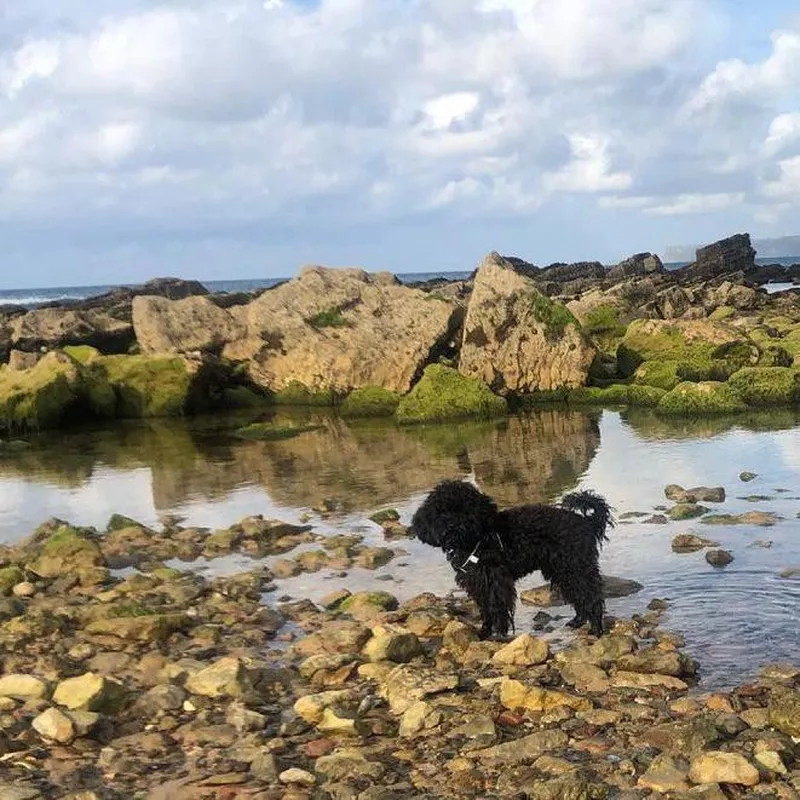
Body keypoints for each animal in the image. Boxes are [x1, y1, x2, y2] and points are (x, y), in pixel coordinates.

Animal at [410, 478, 616, 640]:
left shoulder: (497, 582)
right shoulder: (477, 583)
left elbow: (498, 609)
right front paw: (484, 632)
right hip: (562, 571)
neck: (475, 540)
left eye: (465, 510)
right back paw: (578, 621)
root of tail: (587, 522)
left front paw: (500, 634)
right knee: (578, 596)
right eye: (441, 512)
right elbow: (485, 610)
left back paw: (596, 629)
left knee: (592, 597)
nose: (453, 525)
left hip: (576, 568)